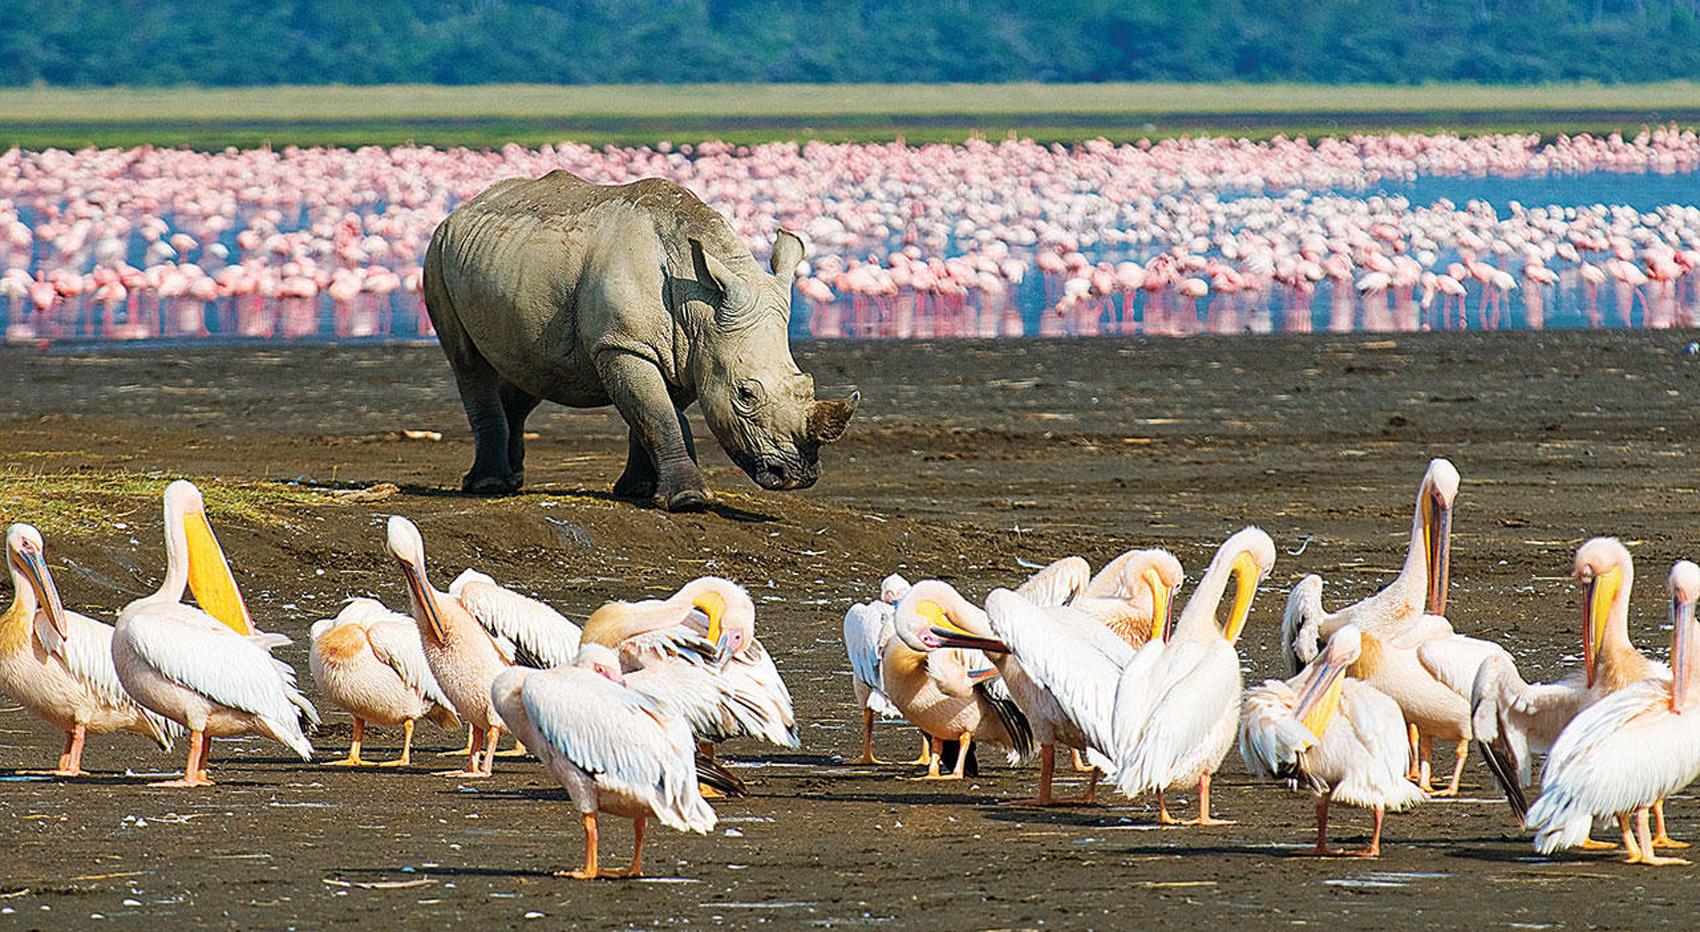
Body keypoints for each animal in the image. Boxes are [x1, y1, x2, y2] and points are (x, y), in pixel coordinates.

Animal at [422, 171, 858, 511]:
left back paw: (510, 482)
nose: (797, 475)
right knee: (469, 363)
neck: (699, 303)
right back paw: (488, 486)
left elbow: (658, 414)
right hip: (437, 254)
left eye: (805, 384)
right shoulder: (623, 344)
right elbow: (657, 414)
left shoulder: (691, 351)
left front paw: (640, 491)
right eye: (745, 395)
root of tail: (464, 208)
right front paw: (687, 501)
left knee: (529, 370)